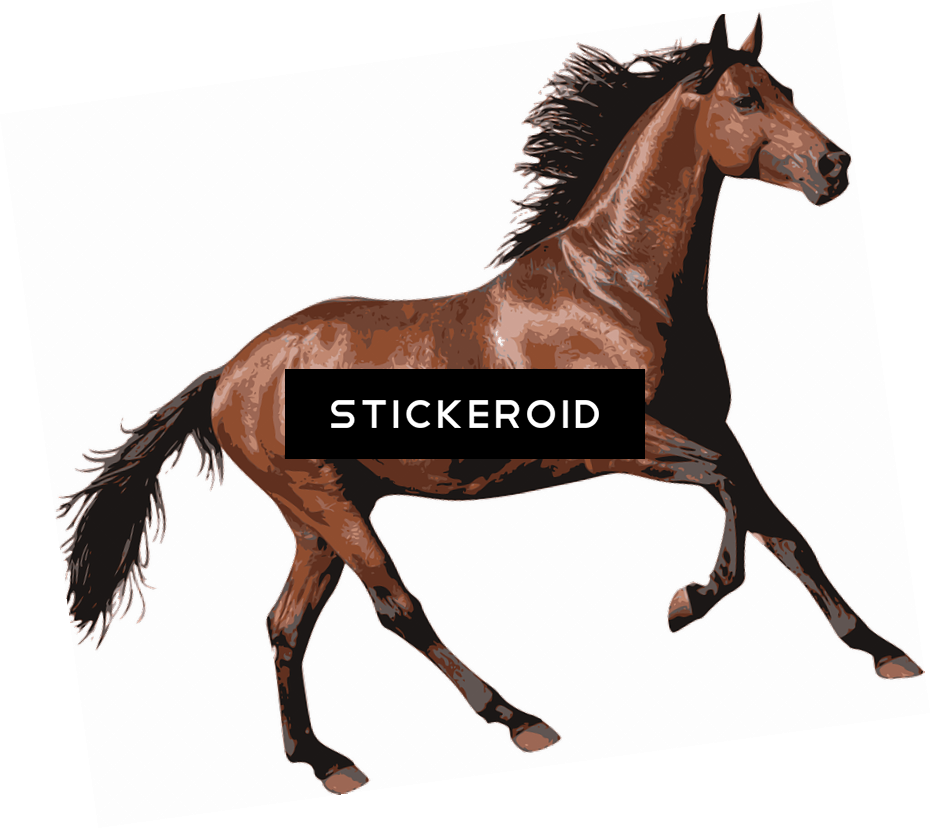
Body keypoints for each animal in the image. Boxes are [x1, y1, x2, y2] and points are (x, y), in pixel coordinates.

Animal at [55, 12, 924, 797]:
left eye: (788, 89)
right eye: (745, 99)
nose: (834, 165)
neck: (616, 289)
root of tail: (231, 373)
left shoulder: (718, 428)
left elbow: (783, 529)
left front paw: (886, 652)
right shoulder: (630, 445)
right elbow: (727, 497)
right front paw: (686, 603)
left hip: (313, 521)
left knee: (284, 625)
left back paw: (326, 762)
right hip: (330, 505)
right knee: (397, 607)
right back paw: (518, 721)